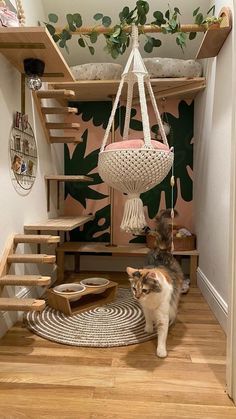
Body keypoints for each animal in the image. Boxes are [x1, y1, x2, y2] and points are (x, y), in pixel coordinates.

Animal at [127, 210, 183, 358]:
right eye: (134, 288)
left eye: (145, 290)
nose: (137, 297)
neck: (150, 300)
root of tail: (161, 250)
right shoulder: (145, 308)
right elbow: (147, 318)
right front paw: (148, 329)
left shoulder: (162, 316)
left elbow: (162, 336)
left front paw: (161, 351)